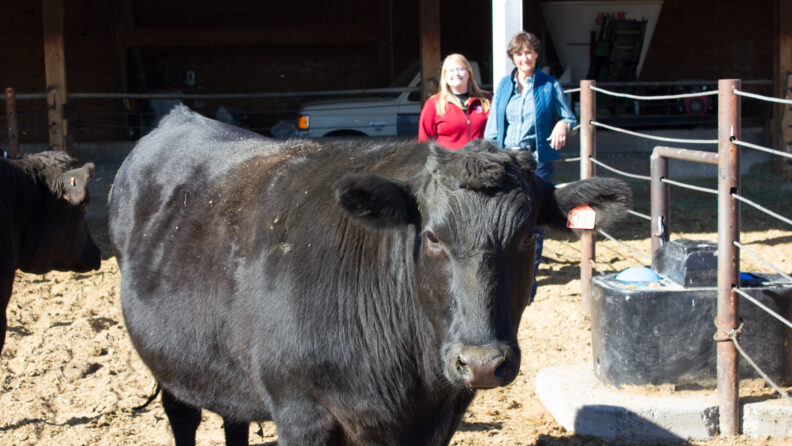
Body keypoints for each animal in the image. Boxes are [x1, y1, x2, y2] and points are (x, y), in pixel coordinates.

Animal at [108, 105, 631, 446]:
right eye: (433, 236)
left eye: (526, 235)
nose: (482, 363)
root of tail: (181, 116)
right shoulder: (301, 411)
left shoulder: (433, 422)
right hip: (168, 362)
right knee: (183, 416)